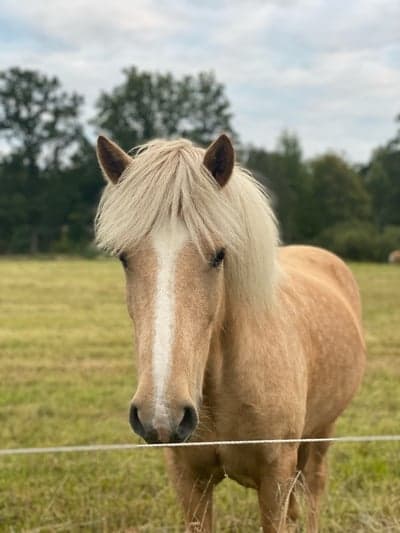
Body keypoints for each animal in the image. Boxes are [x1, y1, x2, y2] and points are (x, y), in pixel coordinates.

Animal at [94, 134, 366, 532]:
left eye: (219, 255)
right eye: (124, 257)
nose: (161, 414)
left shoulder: (275, 480)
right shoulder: (189, 480)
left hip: (321, 435)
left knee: (314, 490)